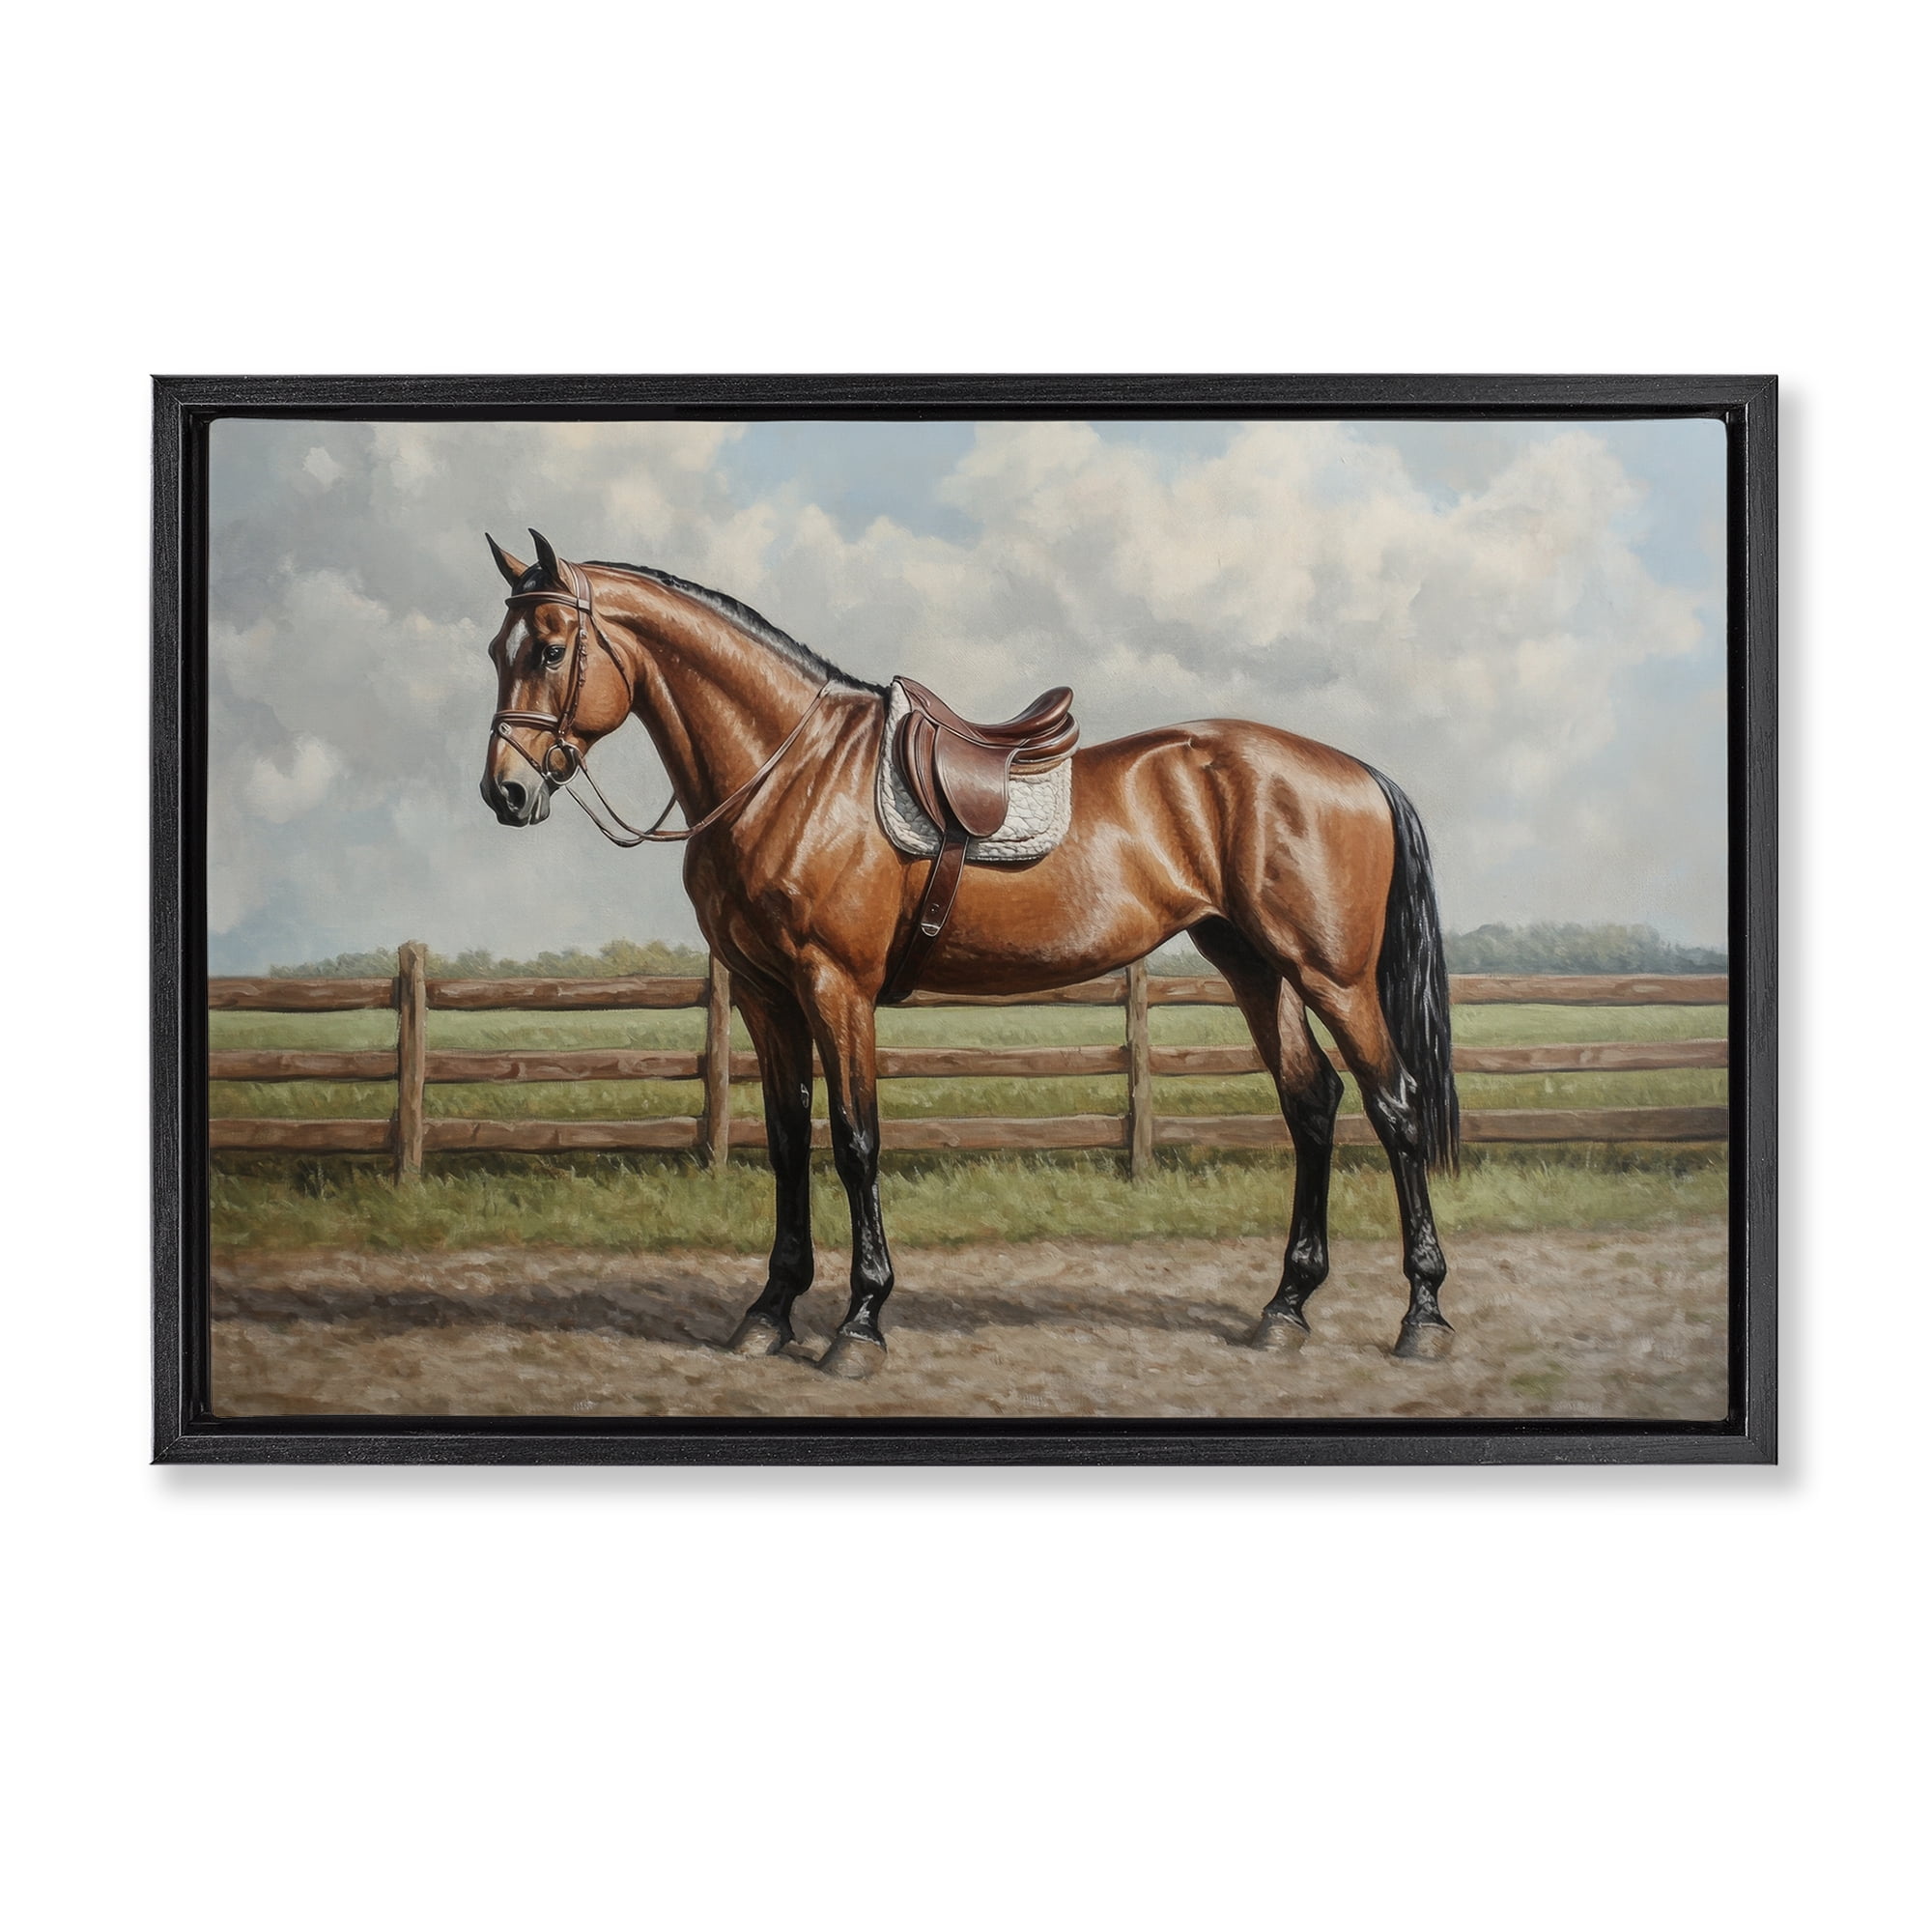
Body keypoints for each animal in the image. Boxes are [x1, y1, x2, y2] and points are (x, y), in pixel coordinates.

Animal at [479, 530, 1459, 1380]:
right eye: (497, 648)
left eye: (553, 649)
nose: (506, 792)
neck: (787, 772)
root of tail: (1356, 773)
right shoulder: (764, 995)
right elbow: (789, 1141)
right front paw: (769, 1311)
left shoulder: (835, 987)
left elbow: (855, 1142)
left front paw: (860, 1323)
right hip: (1258, 968)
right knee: (1312, 1105)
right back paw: (1285, 1308)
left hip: (1333, 976)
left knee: (1394, 1106)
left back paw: (1424, 1317)